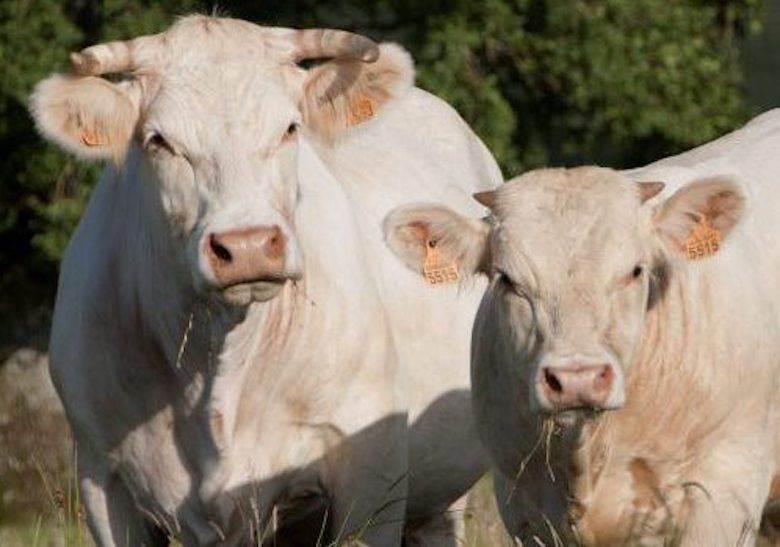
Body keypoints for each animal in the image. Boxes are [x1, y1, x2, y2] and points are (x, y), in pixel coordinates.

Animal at [30, 15, 500, 546]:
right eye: (158, 141)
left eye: (290, 128)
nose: (249, 245)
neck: (216, 361)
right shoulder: (102, 480)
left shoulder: (371, 466)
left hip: (441, 495)